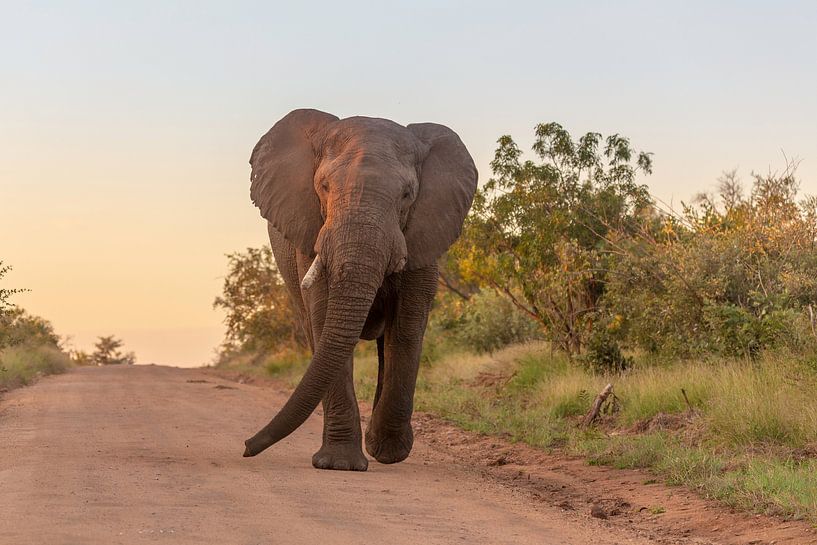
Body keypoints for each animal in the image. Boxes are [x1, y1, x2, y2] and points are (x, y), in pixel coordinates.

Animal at [242, 109, 477, 471]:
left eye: (407, 195)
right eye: (324, 187)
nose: (245, 447)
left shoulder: (425, 231)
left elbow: (407, 326)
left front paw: (388, 452)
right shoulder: (310, 230)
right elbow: (324, 315)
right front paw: (339, 464)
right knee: (315, 333)